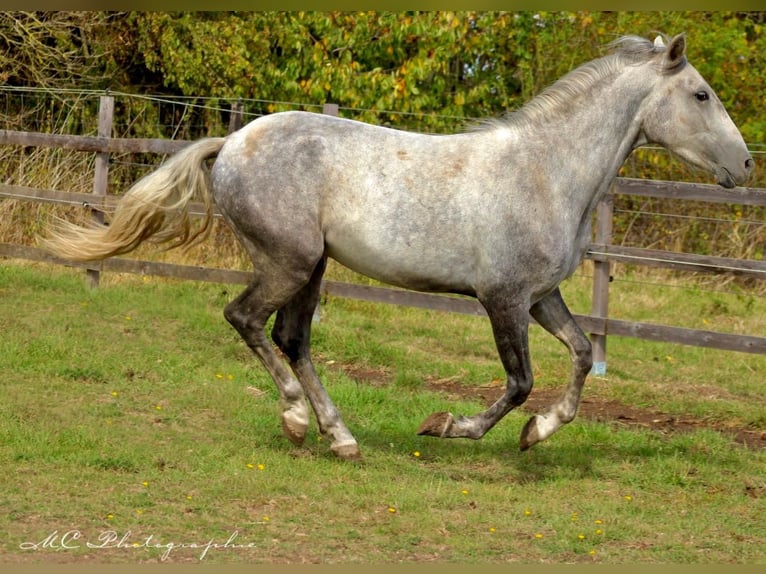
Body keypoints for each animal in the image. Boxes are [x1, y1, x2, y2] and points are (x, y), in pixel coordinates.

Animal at [46, 33, 756, 462]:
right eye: (701, 94)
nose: (746, 165)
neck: (547, 172)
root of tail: (234, 142)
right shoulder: (502, 298)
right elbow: (520, 381)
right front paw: (449, 426)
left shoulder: (540, 295)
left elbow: (582, 356)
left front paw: (538, 434)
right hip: (288, 261)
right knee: (246, 320)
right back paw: (298, 420)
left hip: (313, 267)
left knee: (291, 338)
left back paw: (341, 437)